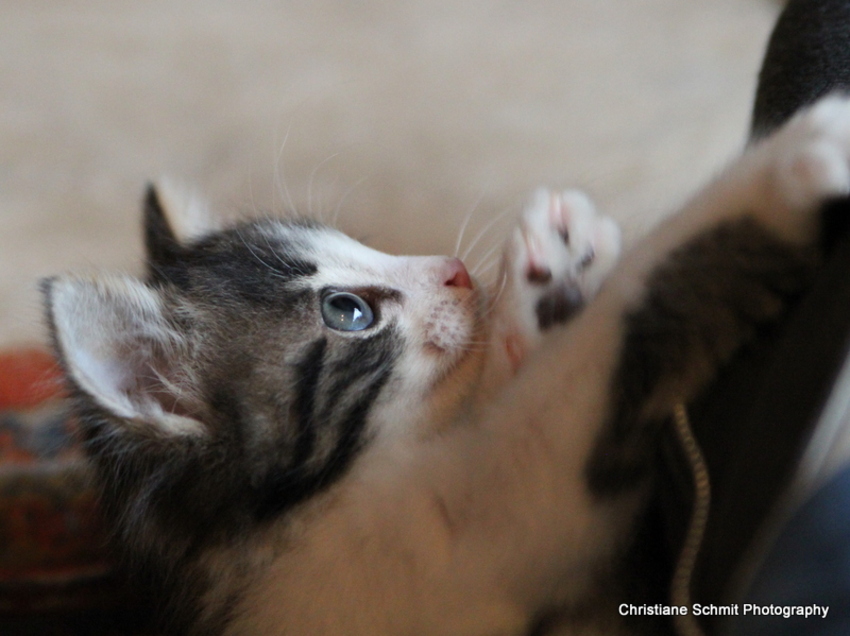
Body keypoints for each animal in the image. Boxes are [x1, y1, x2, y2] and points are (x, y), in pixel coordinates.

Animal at [43, 95, 848, 636]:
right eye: (348, 311)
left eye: (359, 240)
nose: (456, 270)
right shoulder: (472, 537)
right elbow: (611, 337)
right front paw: (793, 159)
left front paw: (554, 281)